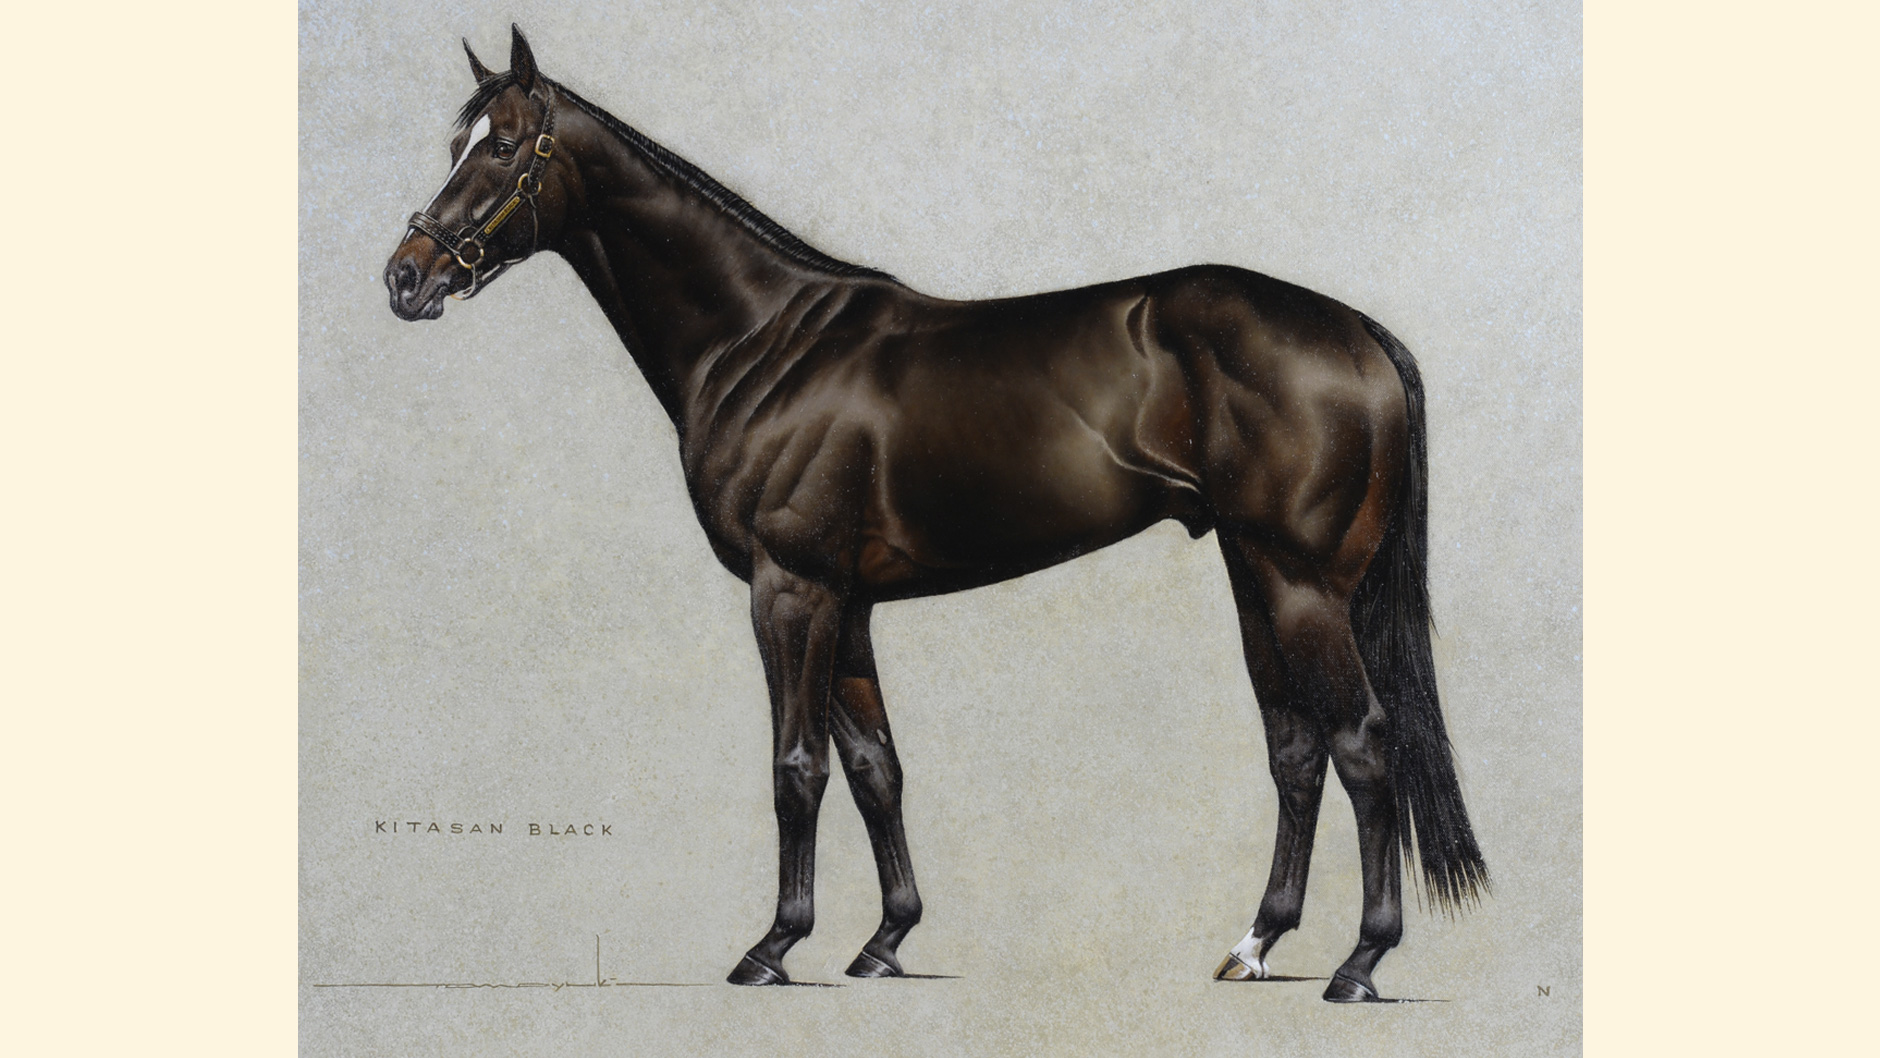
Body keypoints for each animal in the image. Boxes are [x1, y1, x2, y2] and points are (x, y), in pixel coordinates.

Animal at [382, 26, 1486, 1002]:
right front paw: (883, 941)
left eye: (509, 145)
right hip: (1255, 576)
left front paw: (772, 947)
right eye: (455, 143)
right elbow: (876, 766)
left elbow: (795, 768)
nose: (406, 276)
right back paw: (1255, 944)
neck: (761, 343)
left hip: (1302, 586)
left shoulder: (790, 590)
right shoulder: (847, 603)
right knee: (1296, 748)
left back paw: (1358, 963)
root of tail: (1358, 333)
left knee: (1362, 742)